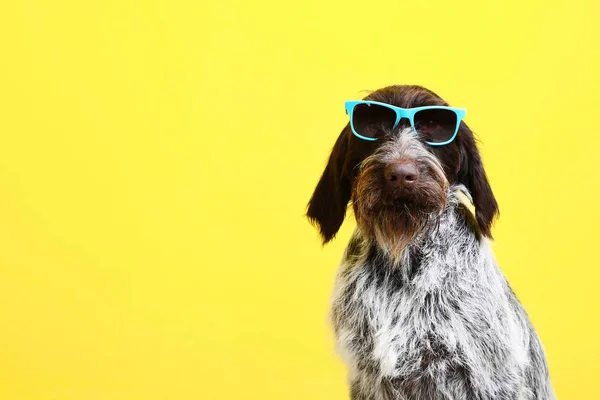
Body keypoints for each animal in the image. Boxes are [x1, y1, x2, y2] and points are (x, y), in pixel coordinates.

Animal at [308, 86, 556, 400]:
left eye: (433, 126)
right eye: (373, 125)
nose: (401, 175)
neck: (402, 262)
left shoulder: (490, 378)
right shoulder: (367, 376)